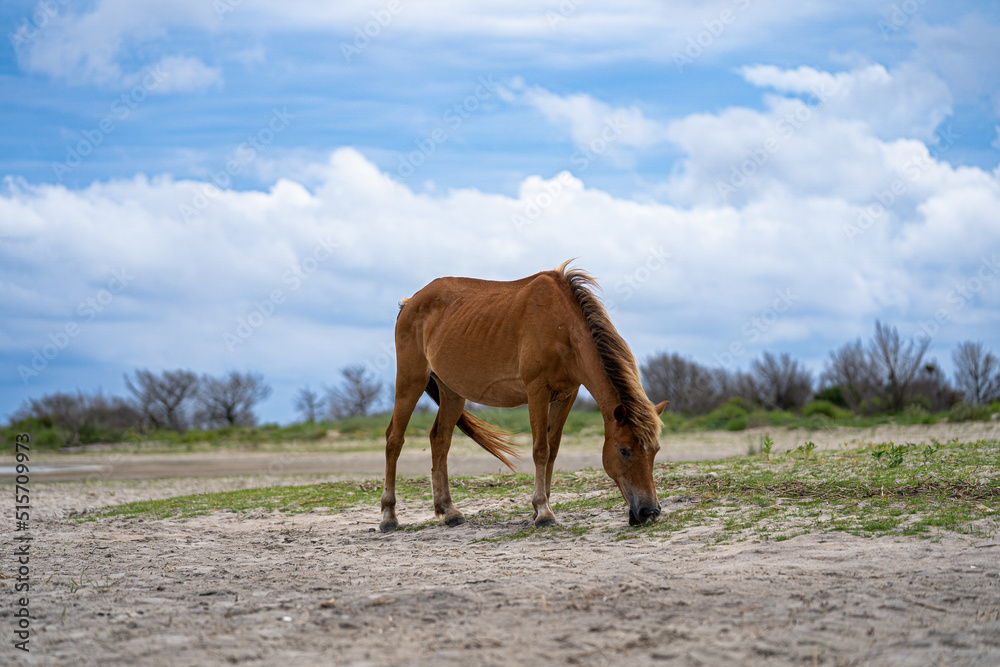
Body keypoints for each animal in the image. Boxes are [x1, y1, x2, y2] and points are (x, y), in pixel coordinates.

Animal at [378, 260, 668, 532]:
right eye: (623, 450)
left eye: (655, 450)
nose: (650, 512)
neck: (562, 327)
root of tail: (411, 302)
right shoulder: (537, 390)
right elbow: (540, 449)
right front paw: (543, 511)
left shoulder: (567, 395)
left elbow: (553, 449)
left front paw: (541, 505)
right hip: (410, 382)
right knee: (394, 440)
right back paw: (389, 517)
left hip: (452, 393)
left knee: (440, 441)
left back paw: (449, 511)